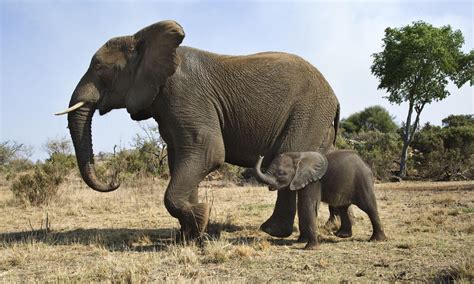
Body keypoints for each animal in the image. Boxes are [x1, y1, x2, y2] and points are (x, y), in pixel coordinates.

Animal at [55, 20, 338, 240]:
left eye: (100, 68)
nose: (115, 179)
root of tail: (334, 97)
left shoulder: (184, 93)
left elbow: (207, 152)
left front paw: (201, 218)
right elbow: (181, 158)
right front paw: (189, 235)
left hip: (308, 111)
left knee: (289, 157)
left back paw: (272, 231)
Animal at [256, 150, 386, 250]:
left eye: (281, 173)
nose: (261, 155)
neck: (298, 156)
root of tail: (366, 165)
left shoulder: (314, 182)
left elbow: (308, 206)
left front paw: (310, 248)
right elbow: (302, 206)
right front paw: (301, 241)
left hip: (363, 181)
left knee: (369, 207)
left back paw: (377, 240)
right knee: (343, 207)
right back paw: (342, 235)